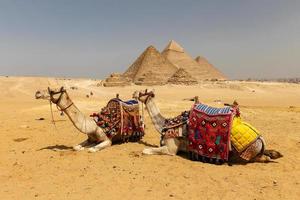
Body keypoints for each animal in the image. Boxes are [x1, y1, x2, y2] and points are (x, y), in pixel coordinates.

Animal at [134, 90, 284, 163]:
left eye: (143, 92)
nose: (134, 93)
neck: (165, 123)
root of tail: (261, 139)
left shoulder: (172, 149)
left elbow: (145, 151)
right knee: (268, 154)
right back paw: (275, 154)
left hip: (246, 153)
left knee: (261, 158)